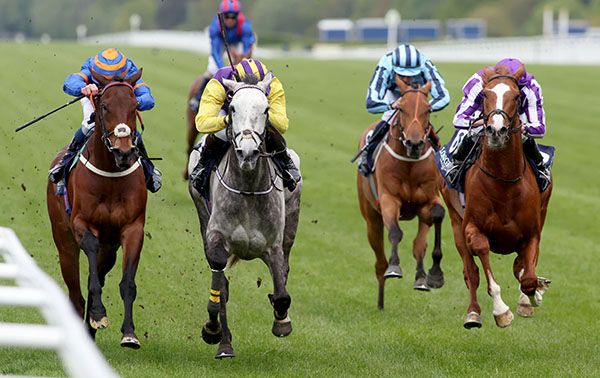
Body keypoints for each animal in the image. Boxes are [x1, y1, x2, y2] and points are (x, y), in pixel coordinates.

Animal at [47, 68, 148, 348]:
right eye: (104, 106)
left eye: (134, 105)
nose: (123, 152)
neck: (111, 175)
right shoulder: (81, 224)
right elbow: (91, 274)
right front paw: (98, 313)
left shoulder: (133, 228)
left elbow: (127, 283)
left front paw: (129, 333)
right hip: (64, 243)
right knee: (75, 294)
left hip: (110, 251)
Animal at [188, 72, 300, 358]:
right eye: (233, 108)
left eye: (266, 109)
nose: (247, 152)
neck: (248, 187)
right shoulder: (216, 237)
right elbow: (219, 288)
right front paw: (212, 330)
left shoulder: (273, 245)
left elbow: (282, 291)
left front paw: (282, 321)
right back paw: (224, 344)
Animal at [356, 77, 446, 310]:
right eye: (401, 108)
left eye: (428, 109)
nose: (414, 143)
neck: (410, 164)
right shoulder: (389, 199)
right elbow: (395, 232)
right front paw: (395, 267)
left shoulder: (428, 200)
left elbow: (434, 221)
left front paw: (432, 275)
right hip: (371, 218)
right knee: (379, 261)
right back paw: (380, 300)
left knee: (419, 244)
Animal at [440, 64, 552, 328]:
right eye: (484, 95)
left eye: (517, 96)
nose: (496, 130)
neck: (504, 182)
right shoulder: (472, 227)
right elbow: (481, 253)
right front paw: (501, 311)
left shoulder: (532, 232)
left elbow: (527, 277)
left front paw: (531, 296)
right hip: (455, 220)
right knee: (471, 272)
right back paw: (473, 313)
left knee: (521, 267)